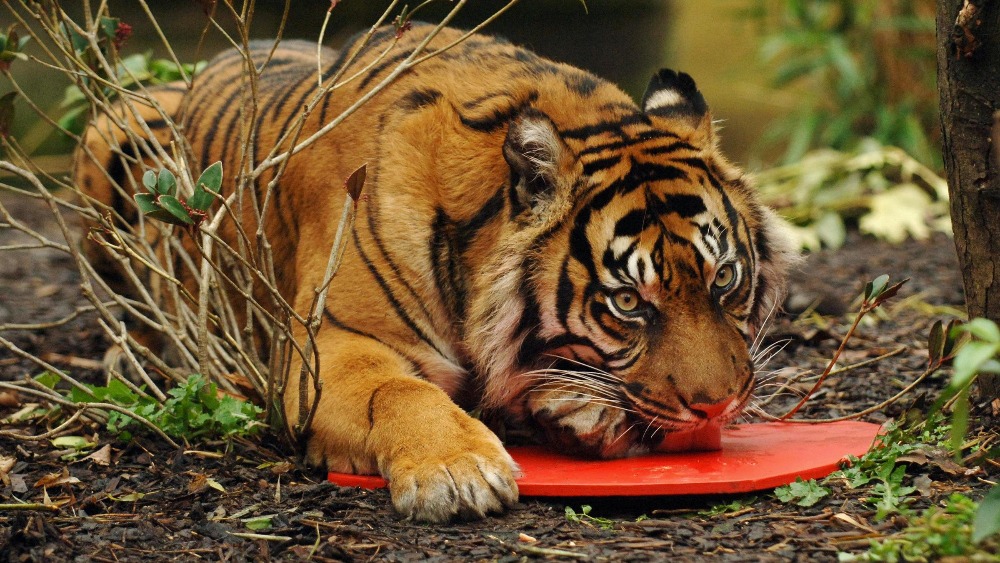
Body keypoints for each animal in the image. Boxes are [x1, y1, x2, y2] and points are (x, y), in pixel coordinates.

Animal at [75, 23, 797, 523]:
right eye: (626, 302)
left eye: (724, 280)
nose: (718, 407)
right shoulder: (326, 345)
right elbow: (396, 391)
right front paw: (457, 471)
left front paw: (575, 407)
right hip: (111, 130)